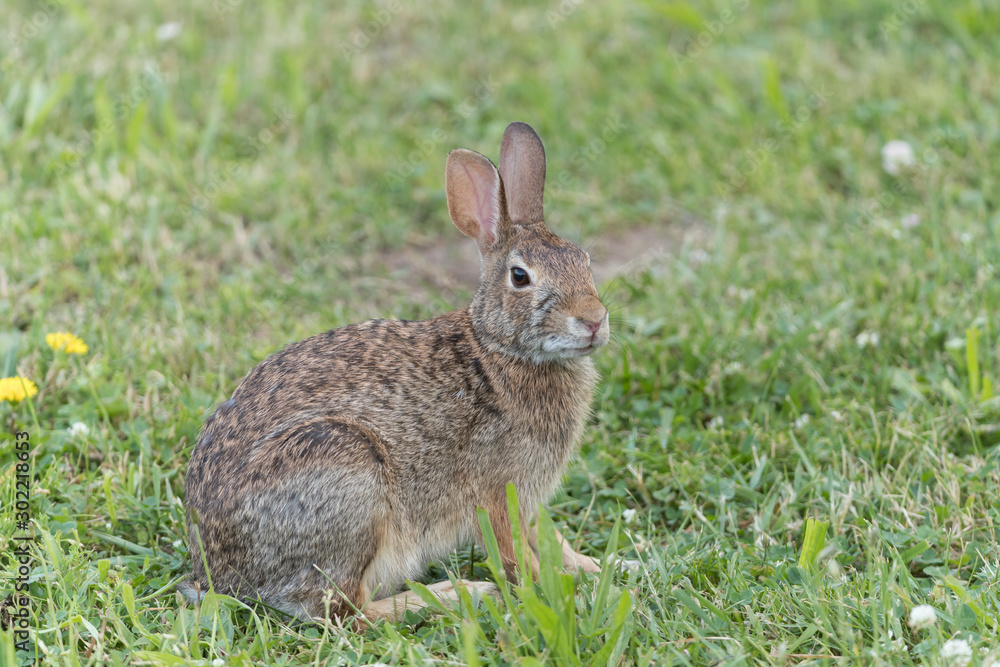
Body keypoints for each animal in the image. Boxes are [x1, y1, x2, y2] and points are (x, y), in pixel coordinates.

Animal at [182, 122, 611, 622]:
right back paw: (455, 593)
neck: (500, 349)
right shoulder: (497, 490)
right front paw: (551, 594)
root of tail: (220, 573)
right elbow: (516, 553)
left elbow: (552, 538)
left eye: (583, 260)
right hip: (350, 478)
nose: (594, 320)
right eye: (520, 277)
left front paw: (599, 567)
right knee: (342, 609)